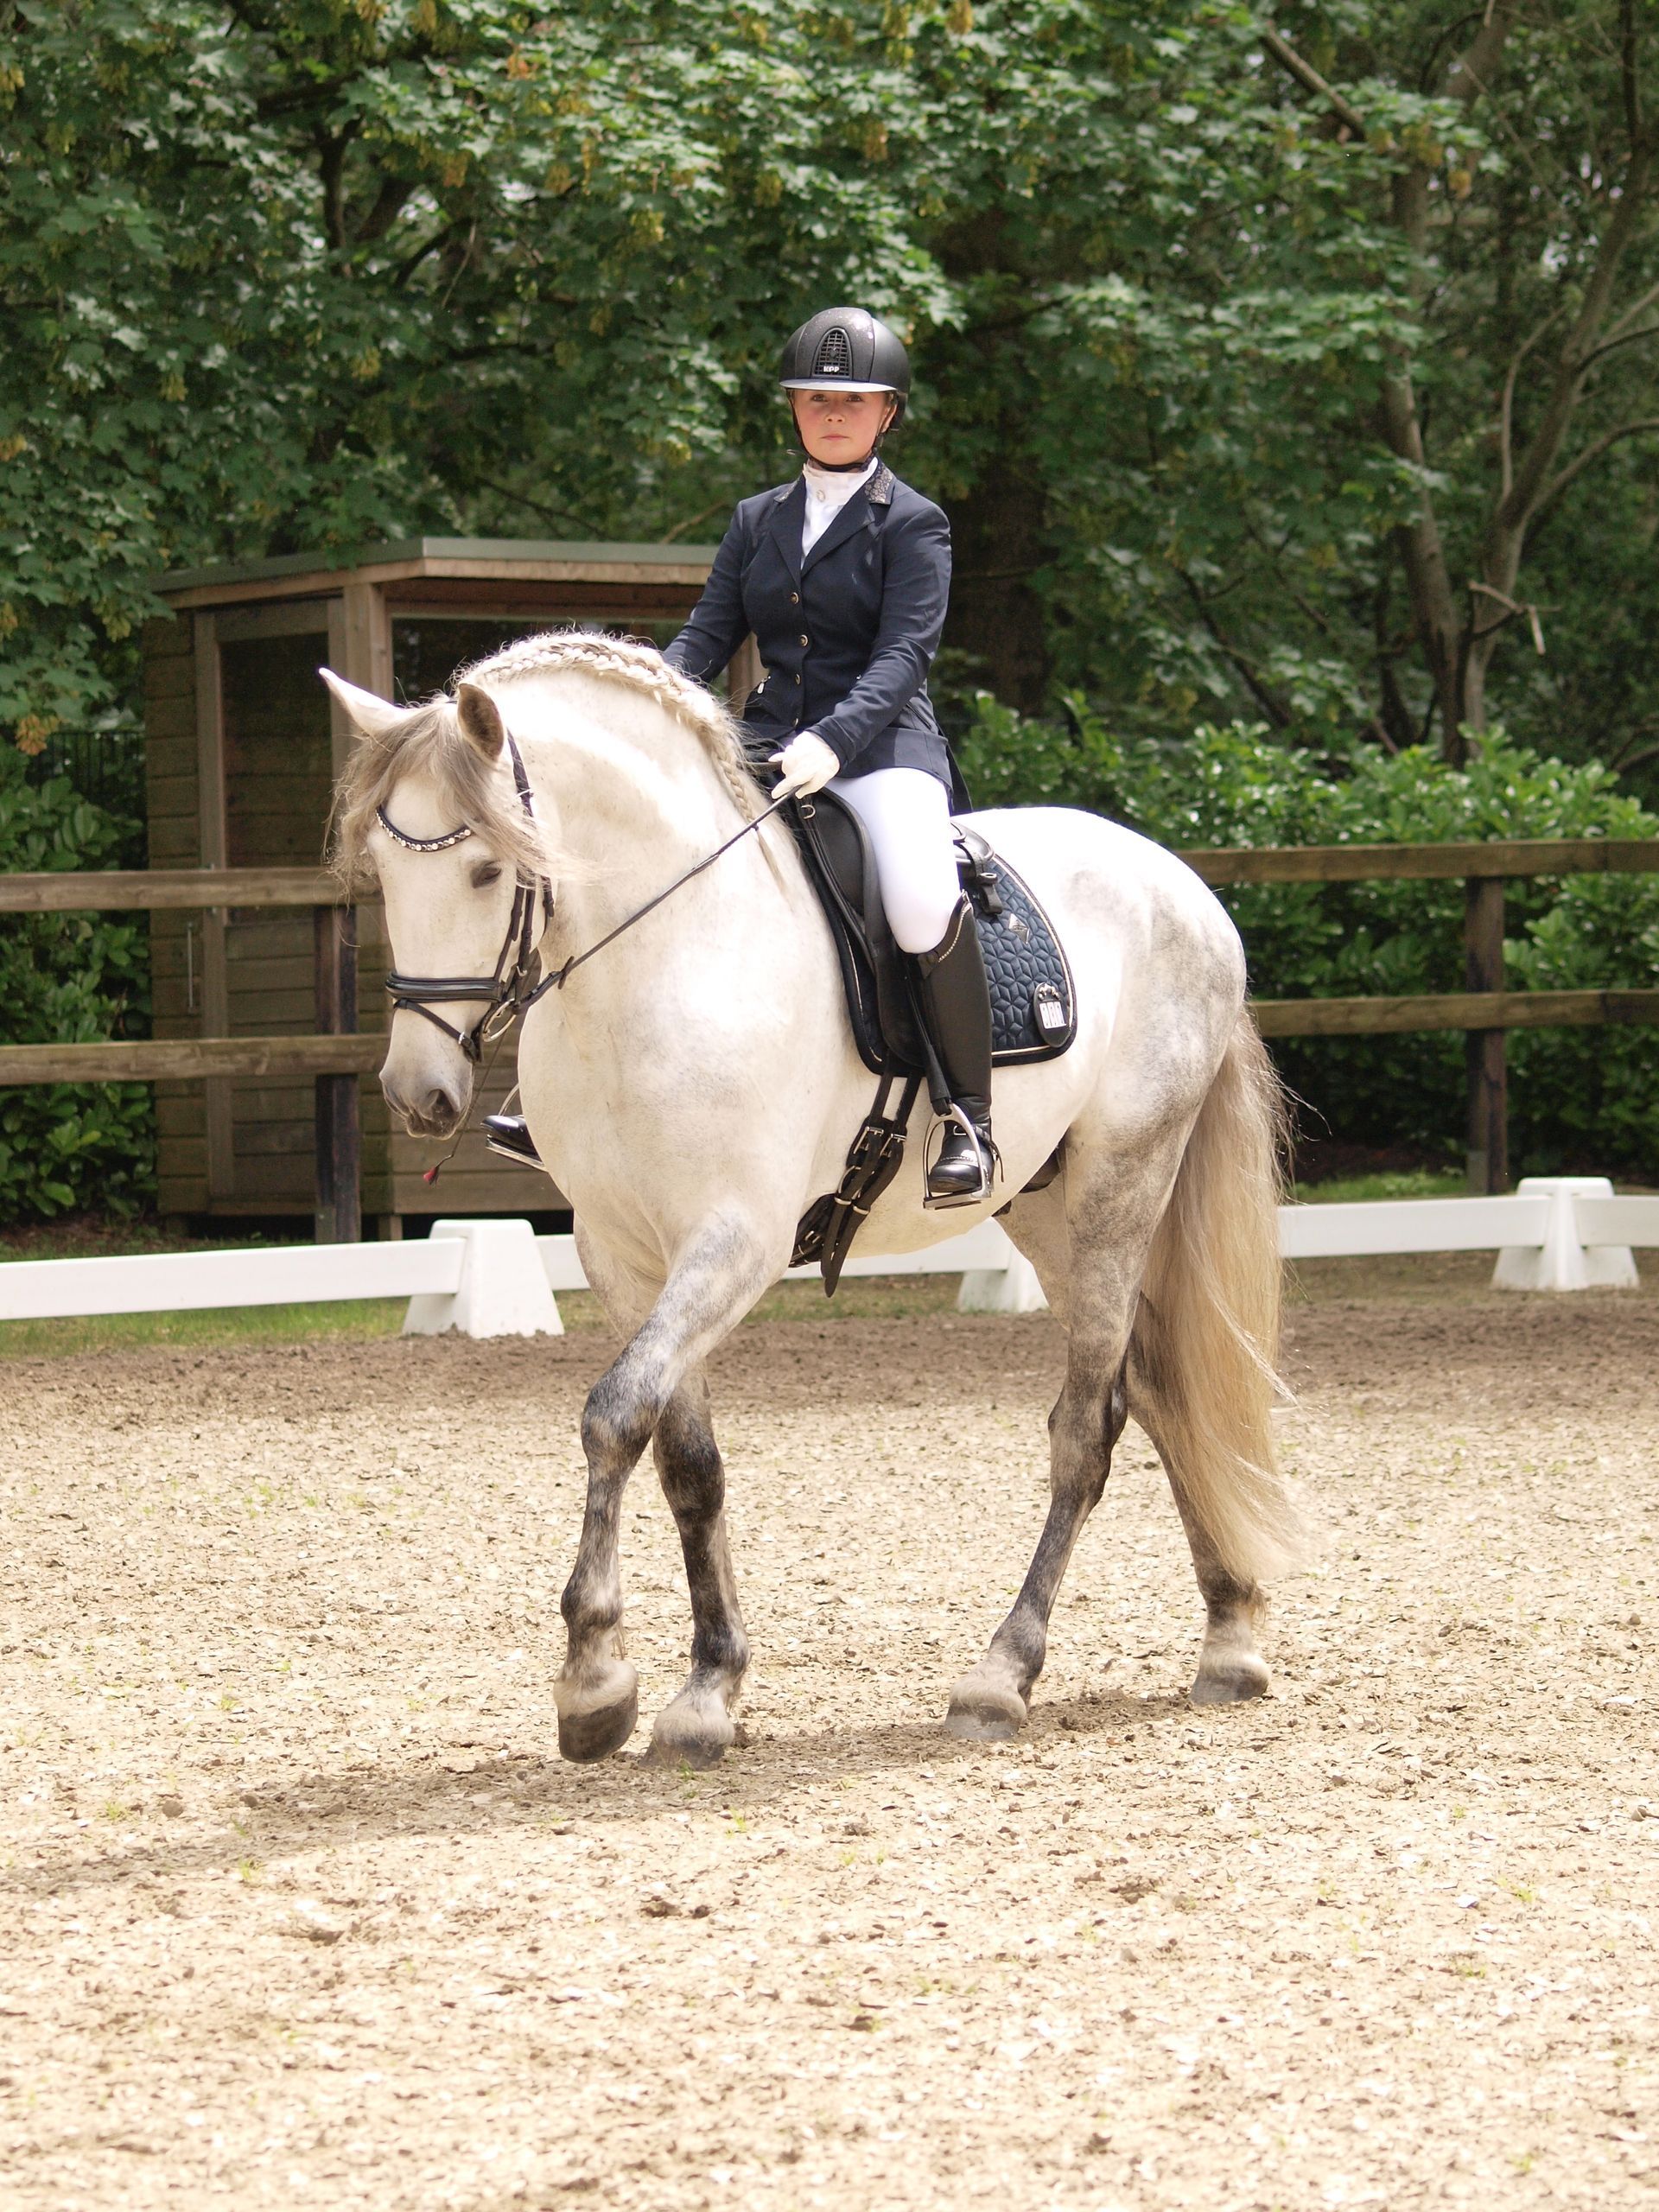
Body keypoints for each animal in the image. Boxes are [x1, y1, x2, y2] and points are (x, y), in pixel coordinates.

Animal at [323, 634, 1305, 1769]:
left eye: (488, 868)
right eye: (383, 872)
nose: (419, 1094)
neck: (666, 957)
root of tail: (1184, 884)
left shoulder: (734, 1244)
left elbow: (614, 1417)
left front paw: (594, 1678)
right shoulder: (625, 1254)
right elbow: (686, 1459)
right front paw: (707, 1688)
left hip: (1123, 1182)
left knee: (1086, 1429)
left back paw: (1003, 1674)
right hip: (1049, 1209)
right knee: (1153, 1386)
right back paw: (1230, 1636)